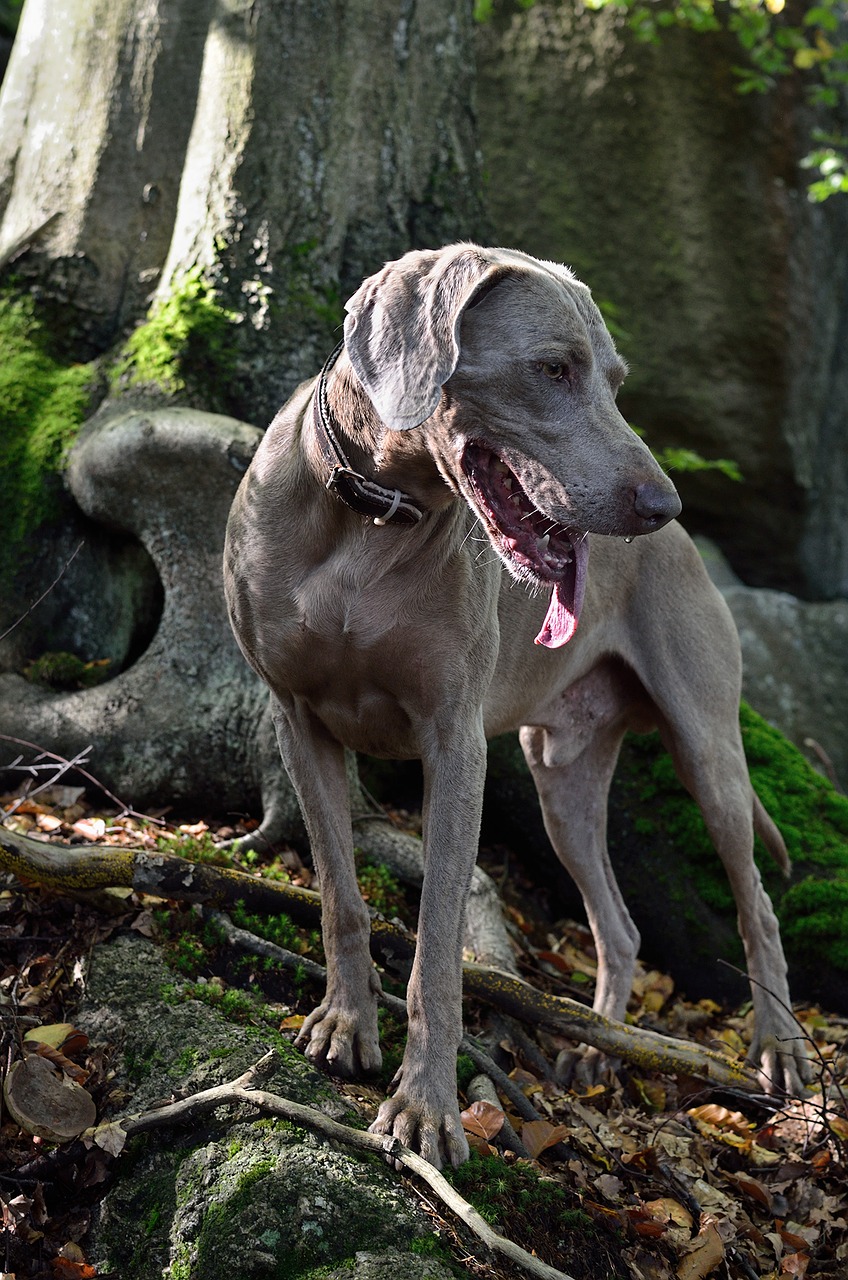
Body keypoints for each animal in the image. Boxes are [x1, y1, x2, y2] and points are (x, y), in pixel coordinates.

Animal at [224, 241, 809, 1172]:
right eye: (554, 369)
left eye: (616, 379)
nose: (662, 505)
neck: (371, 518)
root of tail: (691, 551)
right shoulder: (298, 720)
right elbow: (340, 895)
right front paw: (345, 1024)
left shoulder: (453, 745)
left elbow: (436, 946)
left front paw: (425, 1110)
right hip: (561, 781)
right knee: (620, 928)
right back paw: (596, 1048)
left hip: (708, 748)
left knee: (757, 903)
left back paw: (780, 1048)